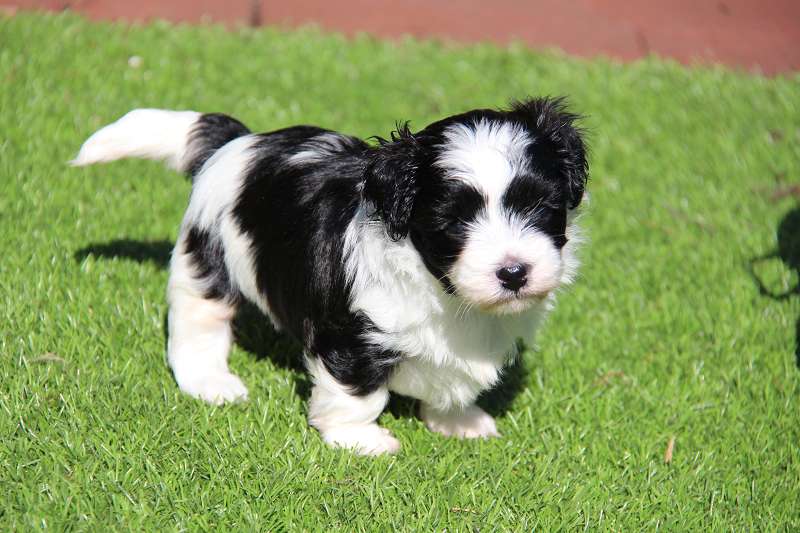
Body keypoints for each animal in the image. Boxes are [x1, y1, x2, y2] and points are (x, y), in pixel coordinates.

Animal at [72, 98, 588, 455]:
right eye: (455, 222)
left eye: (541, 207)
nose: (514, 272)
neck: (442, 290)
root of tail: (238, 142)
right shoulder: (352, 335)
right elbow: (357, 392)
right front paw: (358, 439)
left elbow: (455, 380)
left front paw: (456, 419)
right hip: (207, 256)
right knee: (199, 318)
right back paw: (209, 381)